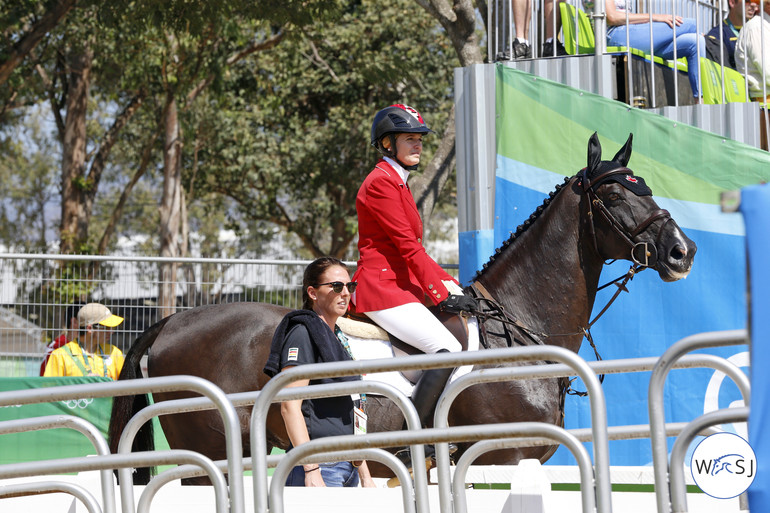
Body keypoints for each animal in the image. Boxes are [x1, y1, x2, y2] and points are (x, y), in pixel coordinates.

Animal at [109, 132, 696, 480]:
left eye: (646, 186)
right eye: (616, 196)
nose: (681, 251)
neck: (518, 329)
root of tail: (172, 320)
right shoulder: (504, 457)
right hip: (209, 453)